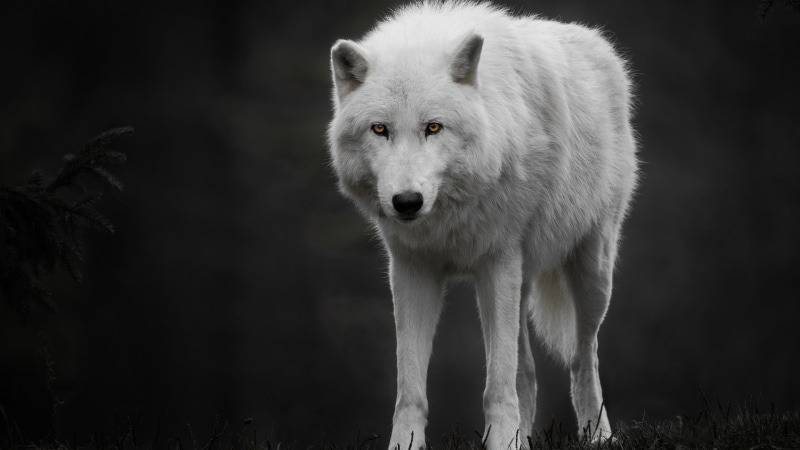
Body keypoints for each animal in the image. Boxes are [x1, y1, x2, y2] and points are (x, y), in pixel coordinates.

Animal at [327, 1, 637, 448]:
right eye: (379, 129)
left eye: (433, 127)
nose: (407, 202)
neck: (447, 216)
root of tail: (600, 43)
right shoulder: (411, 270)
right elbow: (411, 390)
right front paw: (408, 444)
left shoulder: (497, 263)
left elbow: (497, 387)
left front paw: (502, 440)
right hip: (522, 283)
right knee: (528, 375)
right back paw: (525, 438)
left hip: (591, 272)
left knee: (583, 359)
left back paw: (598, 437)